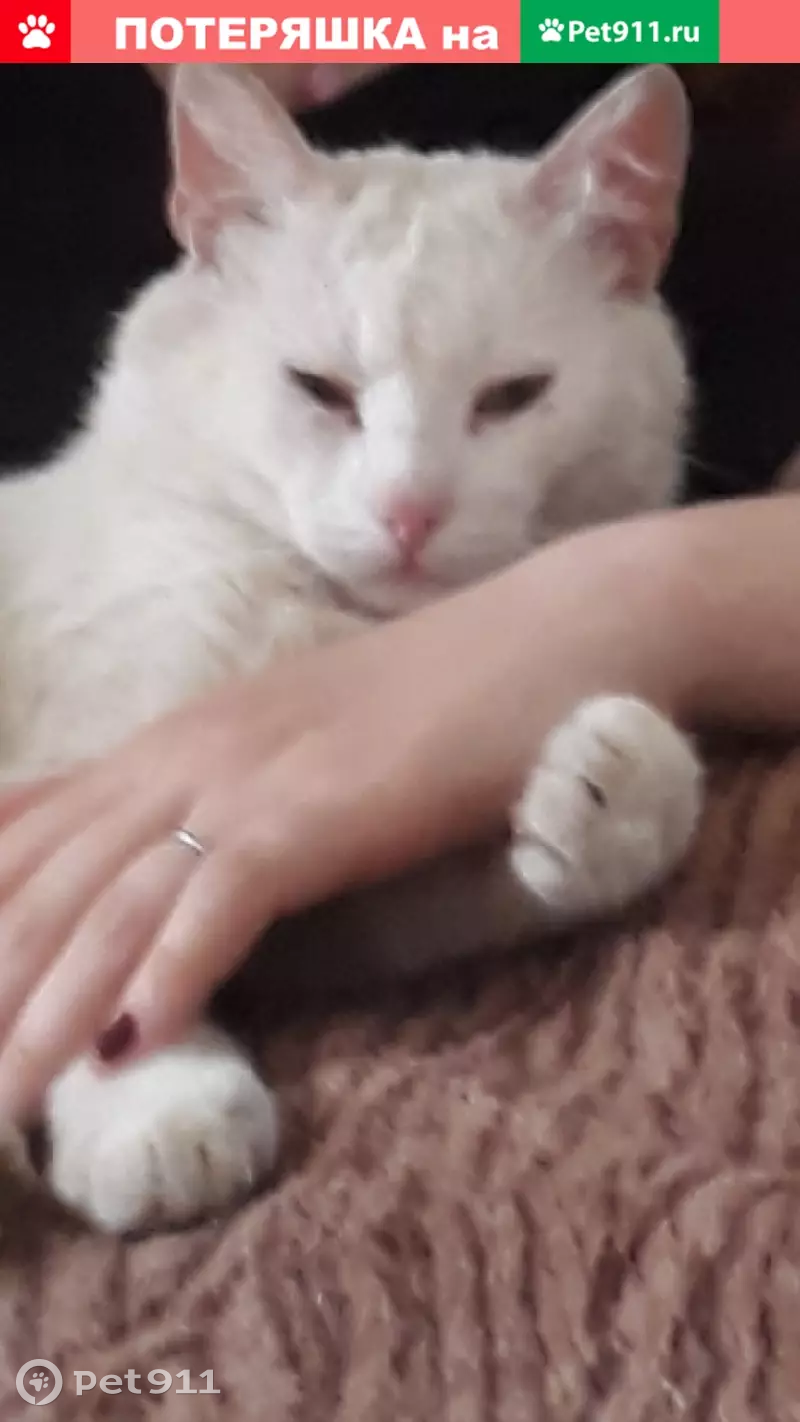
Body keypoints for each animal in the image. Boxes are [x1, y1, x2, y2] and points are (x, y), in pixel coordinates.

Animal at [0, 63, 702, 1232]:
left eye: (515, 395)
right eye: (318, 389)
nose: (409, 512)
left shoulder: (328, 900)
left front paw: (620, 793)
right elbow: (98, 968)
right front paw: (156, 1104)